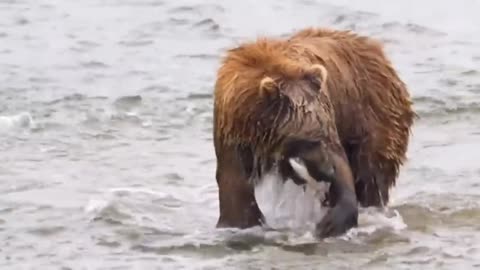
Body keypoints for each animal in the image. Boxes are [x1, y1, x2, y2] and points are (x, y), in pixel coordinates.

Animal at [212, 27, 414, 237]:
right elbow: (235, 188)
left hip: (373, 118)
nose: (328, 170)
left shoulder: (327, 110)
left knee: (370, 176)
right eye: (306, 139)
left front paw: (333, 221)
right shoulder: (232, 135)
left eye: (321, 135)